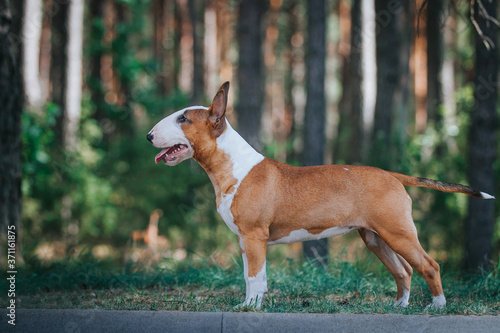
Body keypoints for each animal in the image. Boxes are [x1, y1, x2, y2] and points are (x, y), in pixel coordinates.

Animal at [146, 81, 494, 308]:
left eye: (183, 119)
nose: (149, 136)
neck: (232, 166)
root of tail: (390, 174)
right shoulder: (245, 241)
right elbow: (249, 277)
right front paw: (247, 305)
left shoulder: (255, 237)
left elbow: (255, 277)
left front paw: (251, 308)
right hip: (376, 237)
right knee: (404, 270)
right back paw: (399, 307)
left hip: (398, 232)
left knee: (429, 265)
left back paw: (437, 306)